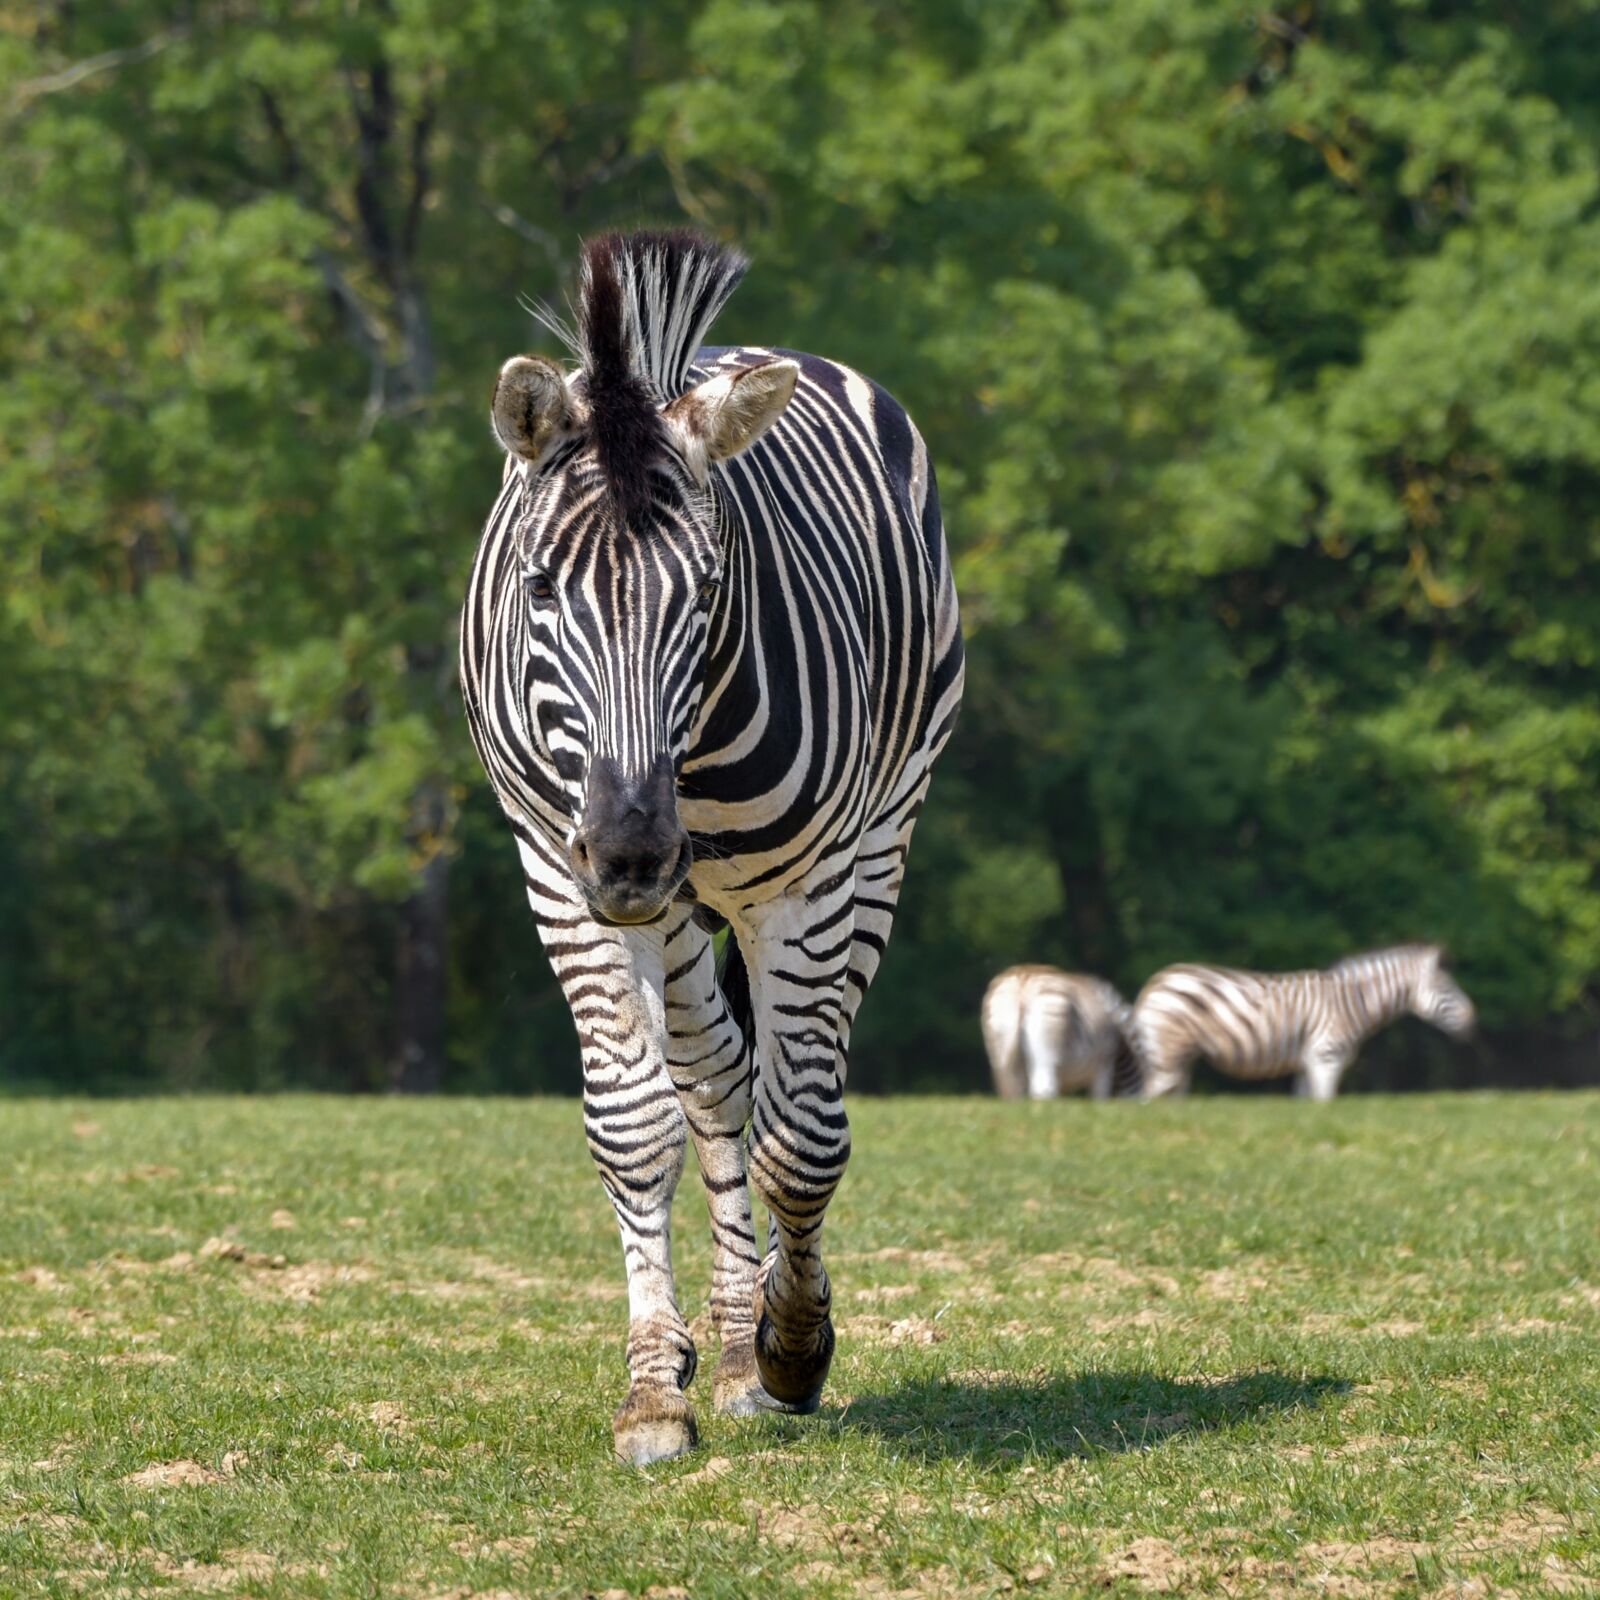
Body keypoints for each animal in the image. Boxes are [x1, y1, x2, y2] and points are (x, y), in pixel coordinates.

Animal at [459, 231, 963, 1465]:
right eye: (540, 589)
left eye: (713, 591)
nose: (633, 852)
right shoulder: (558, 874)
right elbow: (639, 1124)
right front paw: (655, 1388)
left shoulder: (807, 886)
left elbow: (804, 1136)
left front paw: (795, 1347)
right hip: (681, 912)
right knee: (718, 1078)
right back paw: (726, 1339)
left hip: (879, 843)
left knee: (792, 1085)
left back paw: (761, 1340)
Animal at [981, 966, 1132, 1100]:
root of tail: (1023, 982)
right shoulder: (1103, 1067)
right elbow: (1099, 1098)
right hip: (1045, 1056)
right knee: (1043, 1091)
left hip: (1003, 1054)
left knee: (1012, 1091)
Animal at [1131, 944, 1476, 1101]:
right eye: (1447, 989)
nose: (1472, 1019)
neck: (1352, 1004)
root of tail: (1154, 982)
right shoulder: (1326, 1057)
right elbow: (1325, 1104)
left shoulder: (1307, 1063)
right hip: (1168, 1055)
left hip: (1180, 1060)